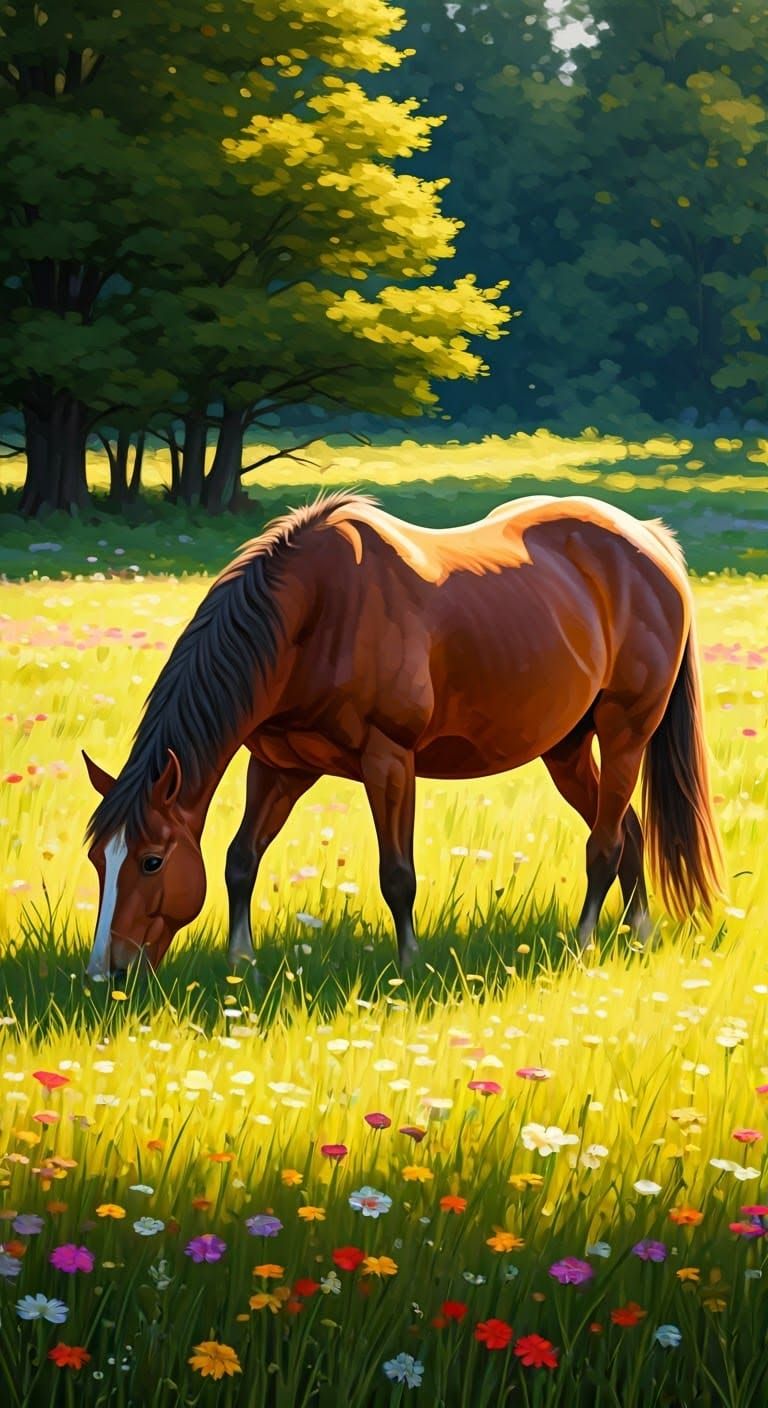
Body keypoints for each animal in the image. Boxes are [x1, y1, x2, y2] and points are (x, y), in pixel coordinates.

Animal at [83, 490, 722, 983]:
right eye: (96, 858)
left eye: (151, 862)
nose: (105, 973)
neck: (311, 614)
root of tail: (649, 542)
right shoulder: (278, 765)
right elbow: (241, 860)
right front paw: (242, 964)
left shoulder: (389, 761)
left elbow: (398, 876)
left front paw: (409, 966)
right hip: (564, 749)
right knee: (628, 830)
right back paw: (637, 935)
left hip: (624, 734)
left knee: (605, 844)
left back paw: (584, 943)